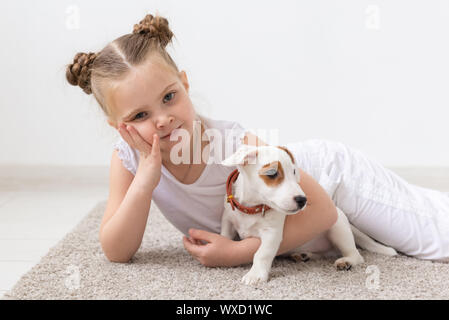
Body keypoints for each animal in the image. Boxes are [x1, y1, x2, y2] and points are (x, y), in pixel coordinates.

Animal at [220, 144, 396, 284]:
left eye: (294, 172)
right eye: (272, 173)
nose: (302, 200)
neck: (253, 208)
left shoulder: (272, 233)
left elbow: (262, 253)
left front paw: (255, 275)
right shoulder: (227, 222)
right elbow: (225, 237)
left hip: (338, 230)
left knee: (356, 254)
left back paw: (346, 261)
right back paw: (304, 255)